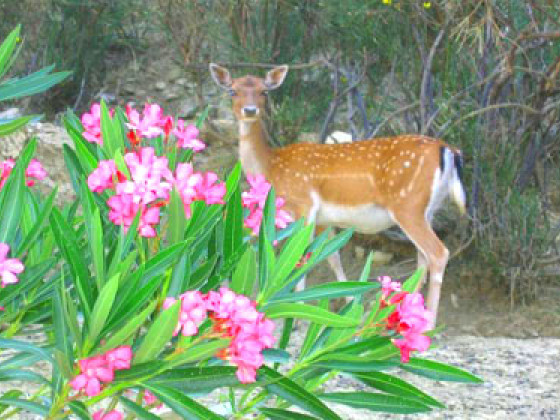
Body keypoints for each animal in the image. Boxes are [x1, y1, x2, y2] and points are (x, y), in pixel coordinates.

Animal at [208, 63, 466, 324]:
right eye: (232, 91)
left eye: (264, 92)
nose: (250, 110)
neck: (272, 167)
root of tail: (449, 151)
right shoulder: (324, 219)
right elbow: (332, 257)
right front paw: (350, 302)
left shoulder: (303, 204)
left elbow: (302, 256)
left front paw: (299, 312)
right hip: (427, 209)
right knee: (423, 259)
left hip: (407, 205)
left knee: (438, 253)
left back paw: (429, 322)